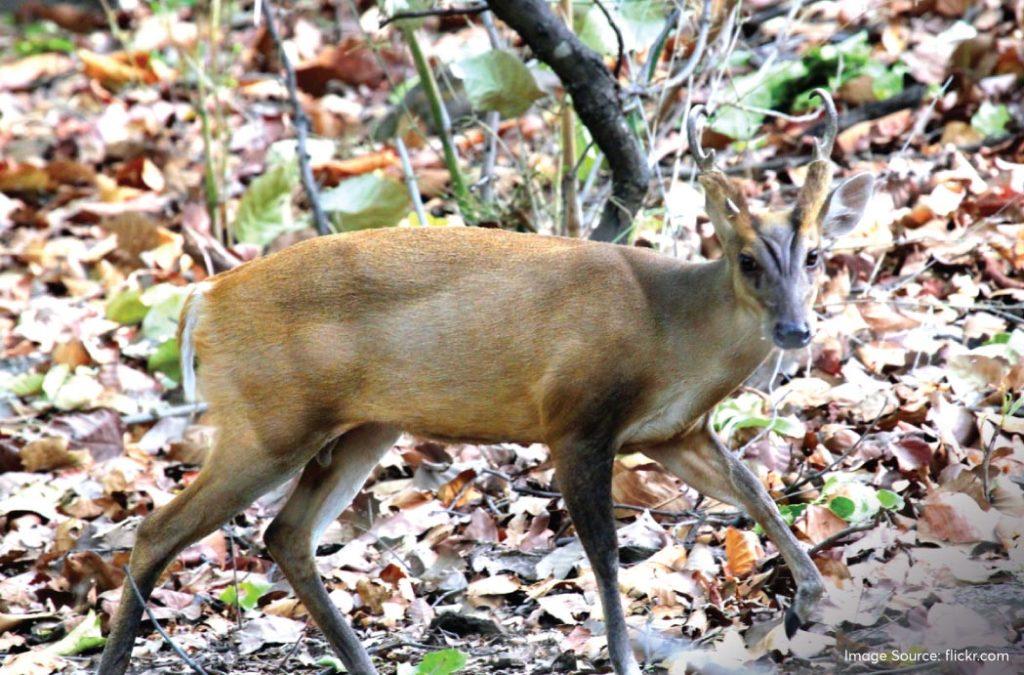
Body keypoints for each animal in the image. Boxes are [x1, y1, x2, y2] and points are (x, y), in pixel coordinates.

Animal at [99, 91, 876, 675]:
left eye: (814, 254)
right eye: (746, 259)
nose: (795, 330)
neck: (671, 332)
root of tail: (203, 301)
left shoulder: (674, 433)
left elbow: (753, 491)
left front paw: (809, 600)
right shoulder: (574, 418)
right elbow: (604, 555)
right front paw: (626, 659)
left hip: (363, 425)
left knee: (285, 534)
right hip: (268, 422)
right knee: (156, 529)